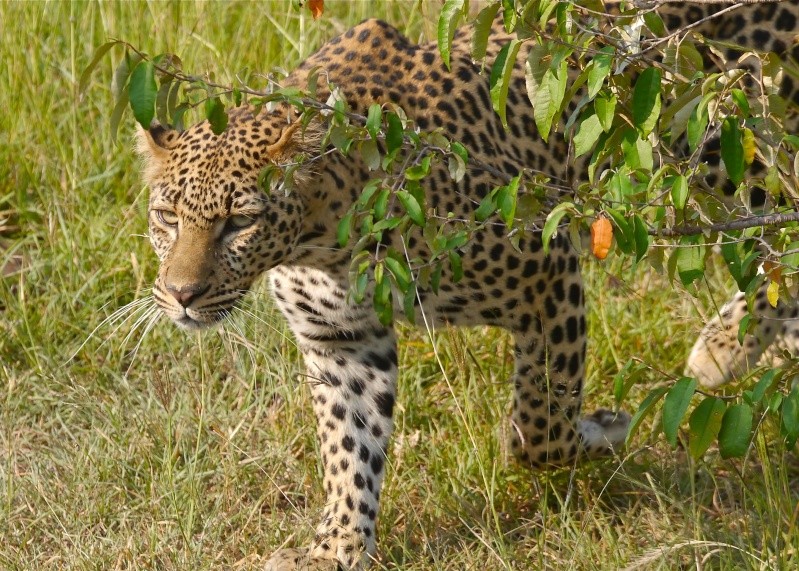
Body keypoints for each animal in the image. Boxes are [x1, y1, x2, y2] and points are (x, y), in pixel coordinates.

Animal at [134, 2, 796, 568]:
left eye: (239, 221)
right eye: (167, 217)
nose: (182, 295)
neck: (323, 240)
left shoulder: (545, 270)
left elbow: (538, 425)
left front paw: (602, 431)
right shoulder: (341, 341)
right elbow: (350, 449)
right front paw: (337, 547)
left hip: (724, 141)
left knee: (776, 234)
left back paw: (722, 348)